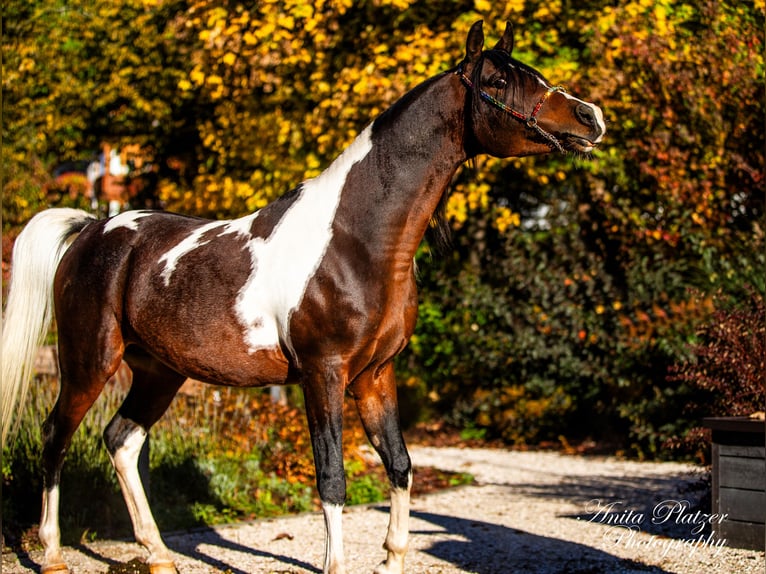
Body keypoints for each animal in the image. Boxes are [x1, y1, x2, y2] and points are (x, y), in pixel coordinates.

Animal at [1, 21, 608, 574]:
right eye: (500, 81)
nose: (591, 118)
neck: (357, 240)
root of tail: (91, 230)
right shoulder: (324, 371)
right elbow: (332, 475)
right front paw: (336, 563)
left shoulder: (376, 375)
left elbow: (399, 464)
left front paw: (393, 556)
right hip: (89, 360)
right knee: (55, 437)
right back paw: (53, 553)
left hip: (158, 371)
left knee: (122, 440)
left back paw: (158, 555)